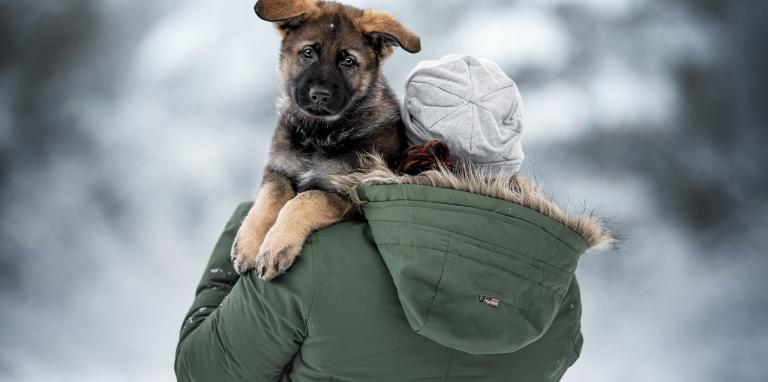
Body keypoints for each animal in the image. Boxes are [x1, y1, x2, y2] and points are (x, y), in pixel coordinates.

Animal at [232, 0, 420, 280]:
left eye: (348, 61)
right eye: (308, 52)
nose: (319, 95)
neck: (318, 135)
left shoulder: (353, 195)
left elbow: (306, 199)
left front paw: (276, 245)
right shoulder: (278, 169)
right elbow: (270, 198)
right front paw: (248, 243)